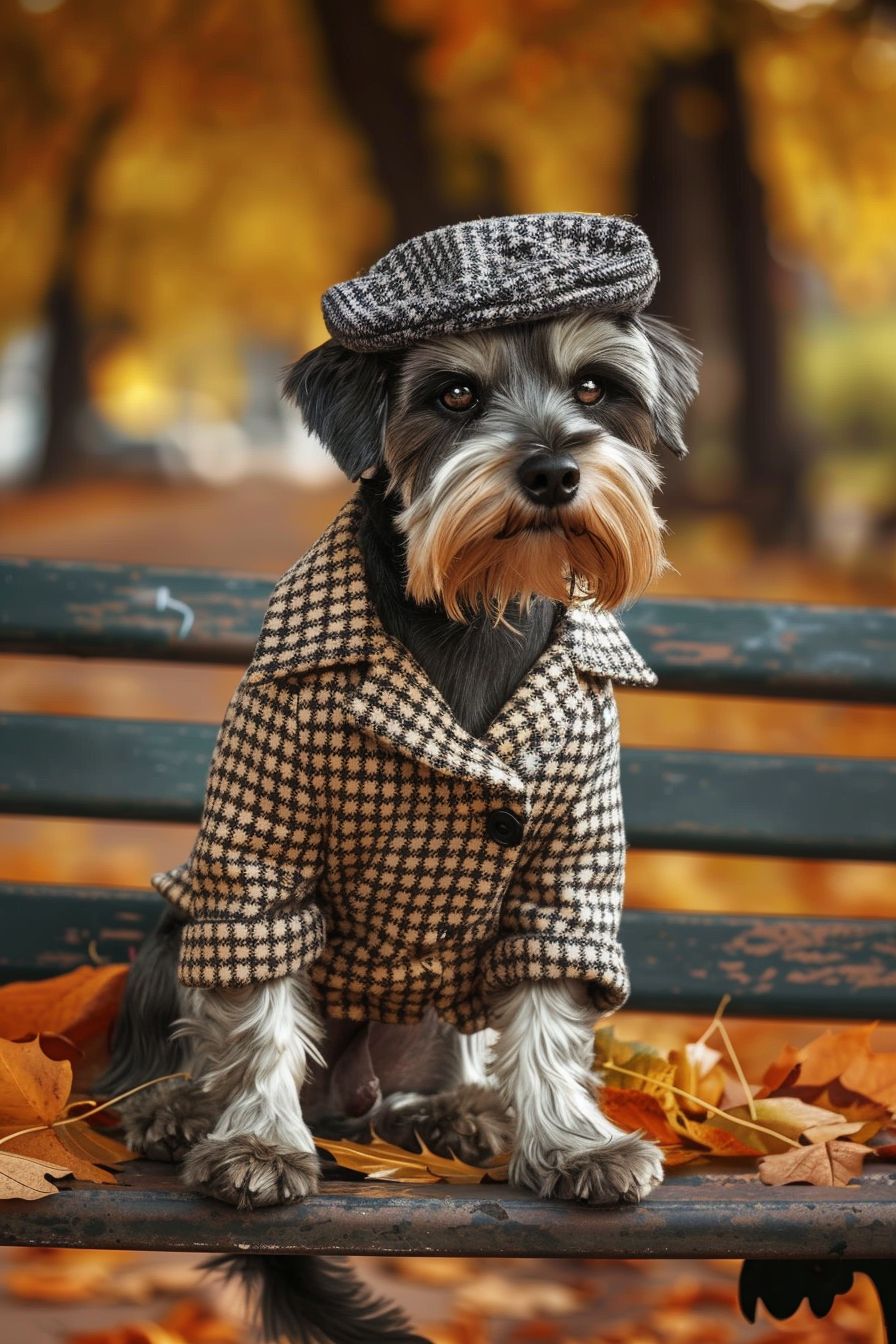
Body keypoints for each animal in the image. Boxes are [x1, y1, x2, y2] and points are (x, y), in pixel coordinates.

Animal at [100, 215, 698, 1344]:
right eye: (454, 394)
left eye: (597, 387)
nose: (553, 470)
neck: (473, 613)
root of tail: (352, 1098)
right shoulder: (259, 859)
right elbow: (255, 1015)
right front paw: (255, 1144)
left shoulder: (567, 869)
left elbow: (550, 1012)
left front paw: (574, 1142)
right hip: (176, 927)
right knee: (187, 1041)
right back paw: (176, 1108)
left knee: (437, 1070)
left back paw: (461, 1112)